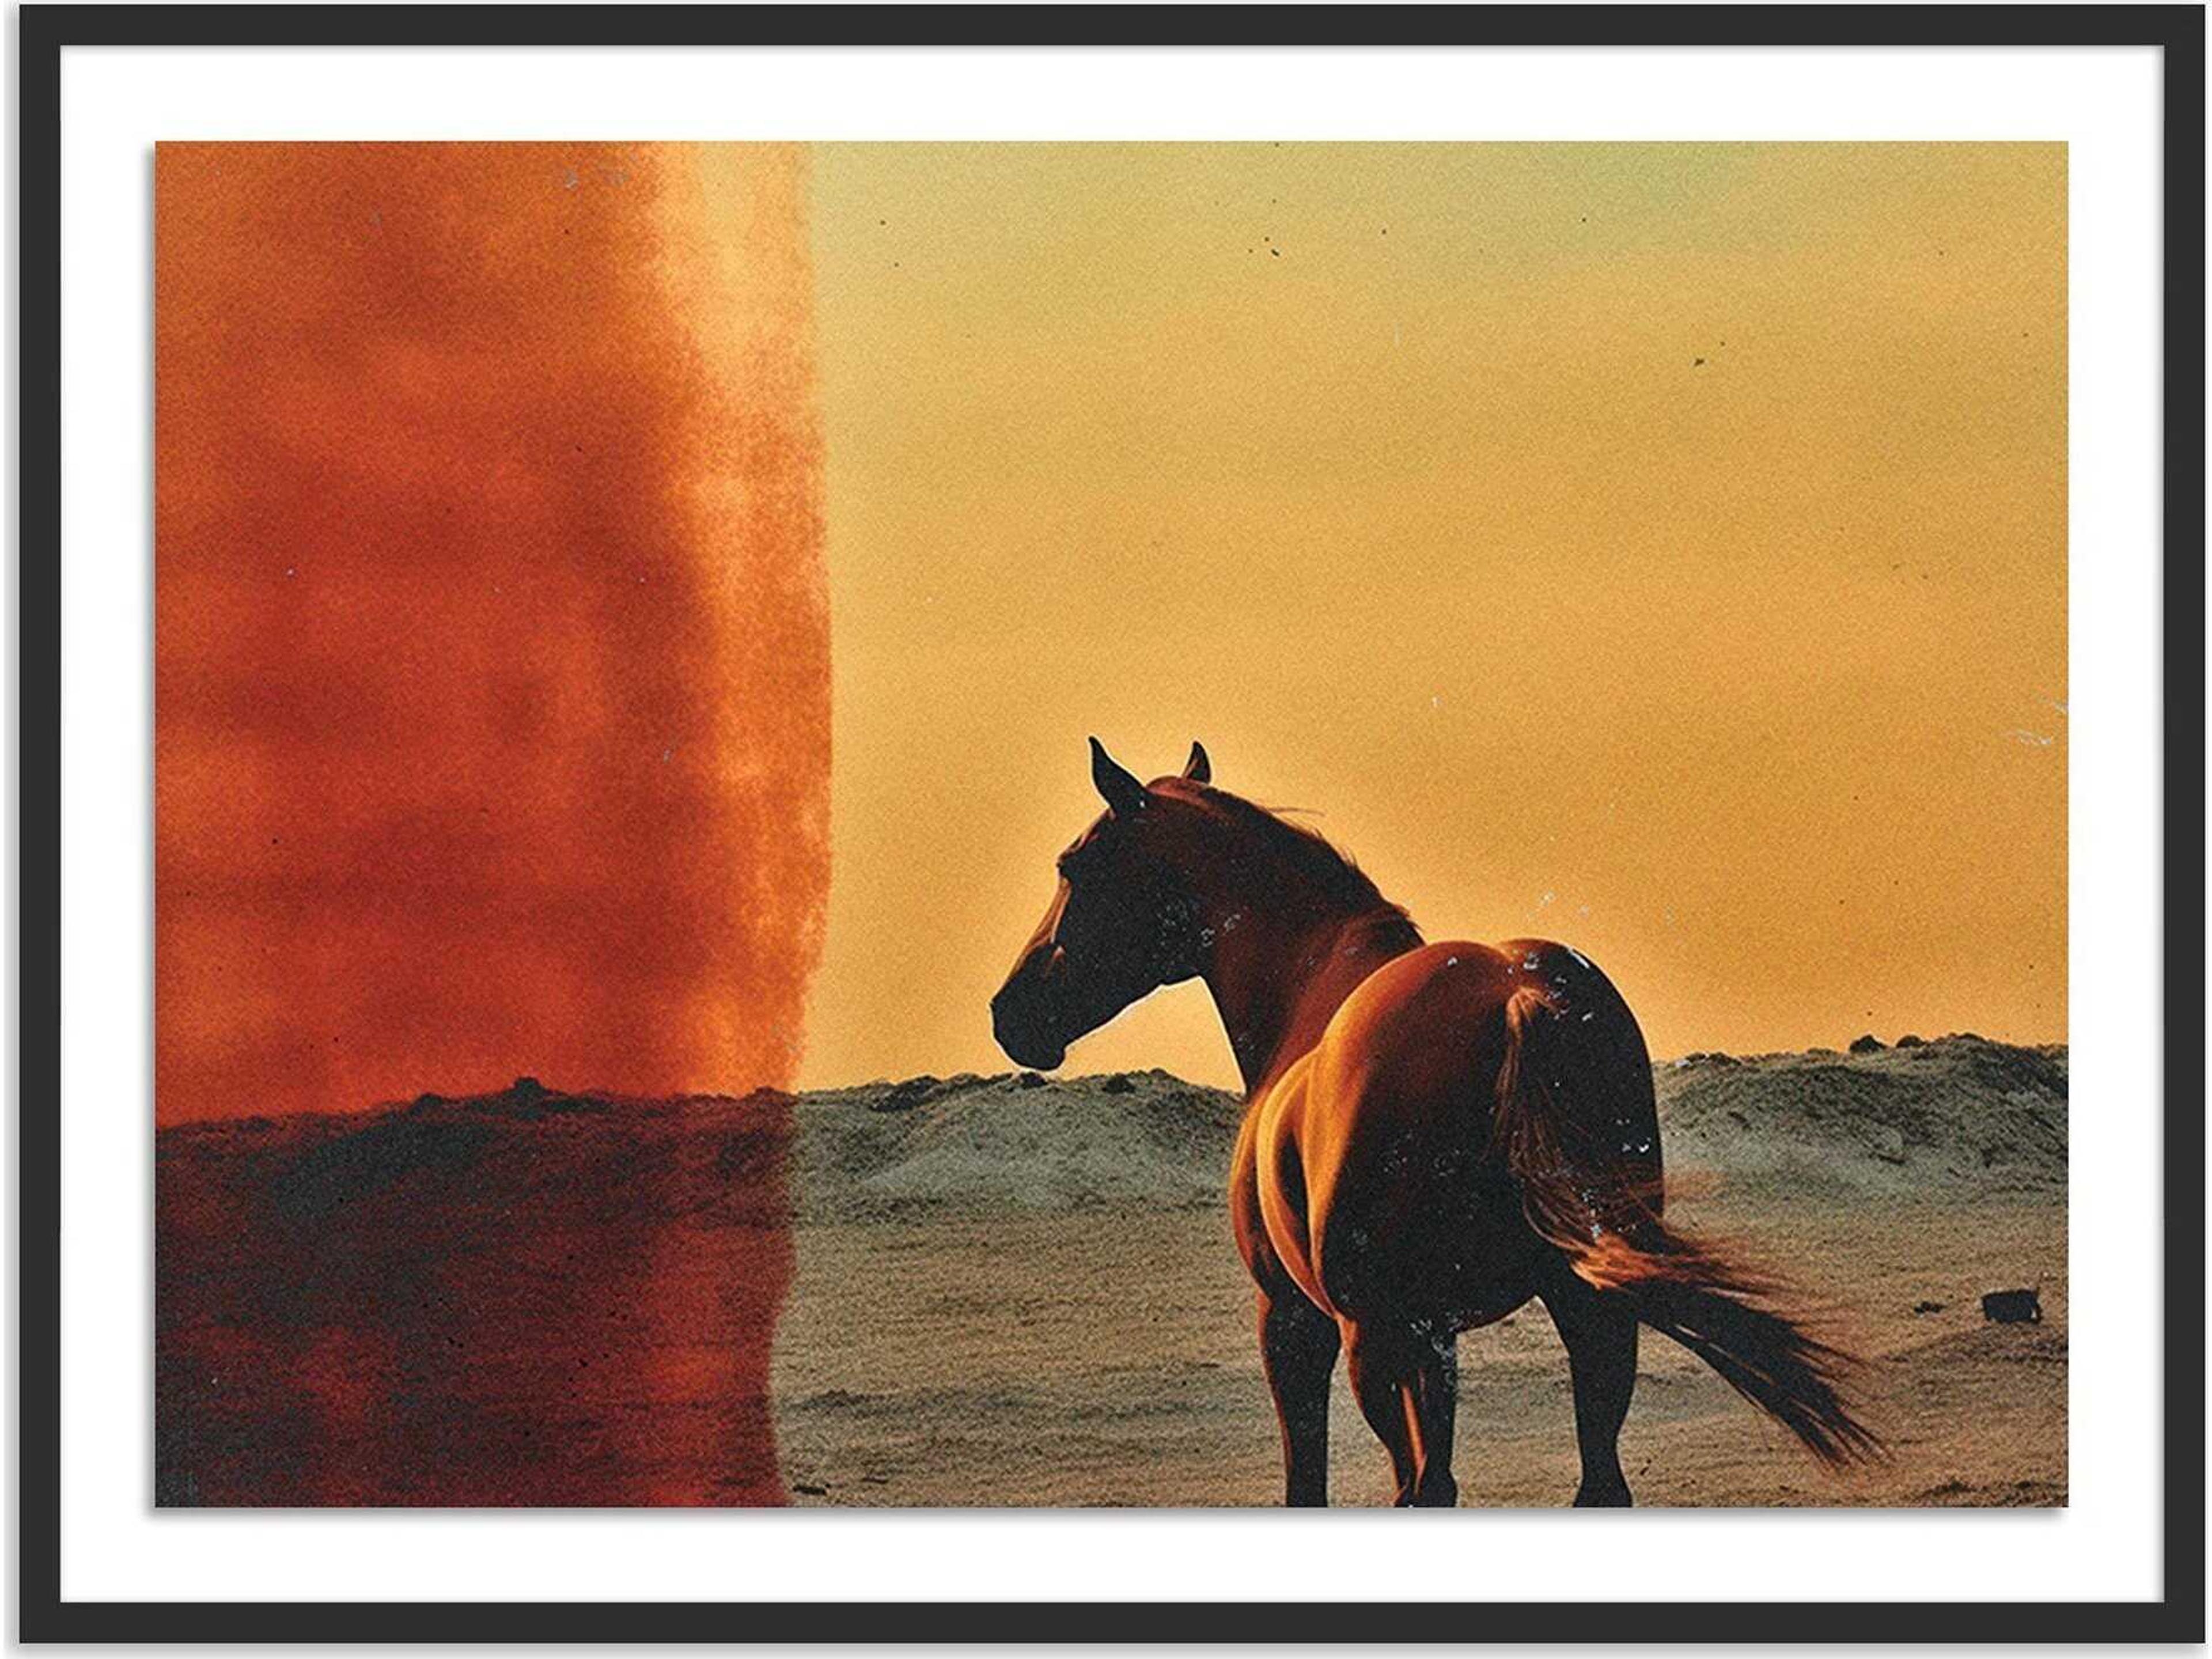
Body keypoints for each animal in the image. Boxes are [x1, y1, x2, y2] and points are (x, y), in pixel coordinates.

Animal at [991, 738, 1877, 1507]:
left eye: (1074, 866)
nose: (1011, 1013)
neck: (1310, 988)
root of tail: (1520, 997)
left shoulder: (1298, 1323)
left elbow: (1313, 1486)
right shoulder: (1438, 1336)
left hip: (1379, 1343)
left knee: (1426, 1489)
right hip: (1589, 1314)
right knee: (1595, 1484)